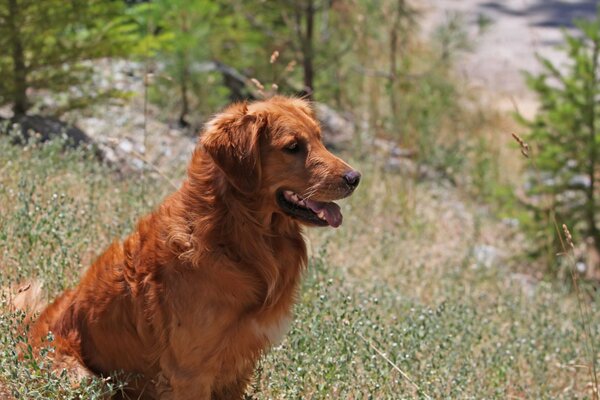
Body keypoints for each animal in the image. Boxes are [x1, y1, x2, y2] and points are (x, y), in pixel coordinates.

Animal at [16, 95, 358, 398]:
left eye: (320, 139)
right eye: (293, 147)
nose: (355, 177)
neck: (235, 237)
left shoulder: (238, 366)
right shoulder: (190, 371)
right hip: (86, 380)